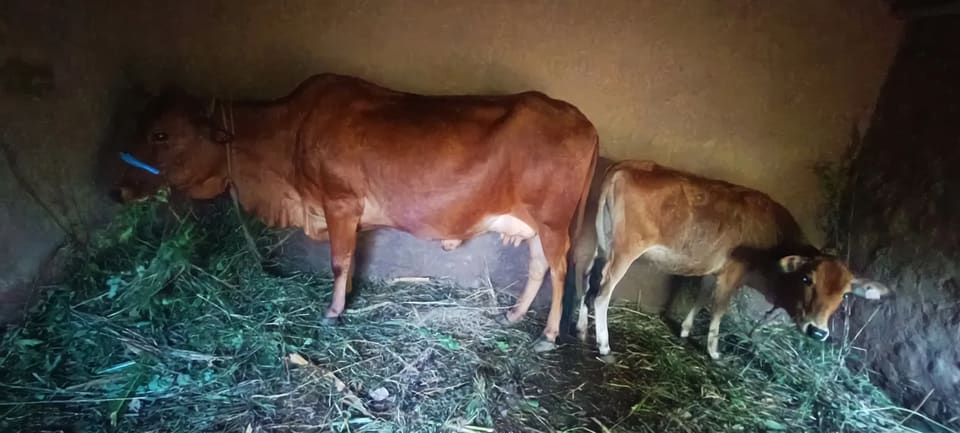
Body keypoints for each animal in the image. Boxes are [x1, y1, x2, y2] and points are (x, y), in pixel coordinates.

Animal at [110, 73, 599, 352]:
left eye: (160, 134)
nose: (117, 189)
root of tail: (582, 119)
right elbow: (351, 258)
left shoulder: (340, 202)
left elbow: (339, 260)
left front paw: (334, 310)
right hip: (534, 225)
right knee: (539, 267)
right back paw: (515, 315)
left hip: (553, 222)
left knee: (559, 271)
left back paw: (548, 335)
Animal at [571, 160, 892, 359]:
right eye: (806, 278)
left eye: (845, 294)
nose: (818, 331)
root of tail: (624, 167)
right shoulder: (735, 270)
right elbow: (719, 309)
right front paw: (714, 351)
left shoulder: (713, 269)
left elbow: (701, 297)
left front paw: (685, 330)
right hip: (624, 252)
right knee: (602, 293)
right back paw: (604, 344)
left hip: (599, 243)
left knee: (586, 281)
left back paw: (582, 328)